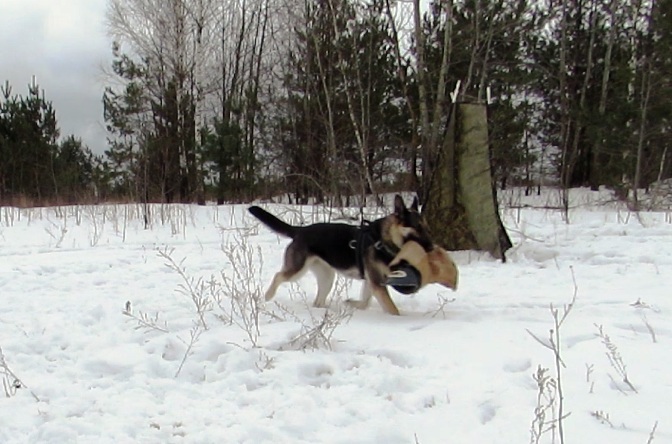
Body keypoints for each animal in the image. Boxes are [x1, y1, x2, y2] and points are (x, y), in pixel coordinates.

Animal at [247, 195, 430, 316]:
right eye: (417, 227)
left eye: (426, 227)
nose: (431, 246)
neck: (382, 240)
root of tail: (300, 230)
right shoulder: (377, 282)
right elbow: (392, 309)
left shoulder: (372, 282)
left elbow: (365, 302)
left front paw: (351, 304)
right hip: (297, 270)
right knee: (279, 276)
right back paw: (268, 296)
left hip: (327, 277)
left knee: (318, 301)